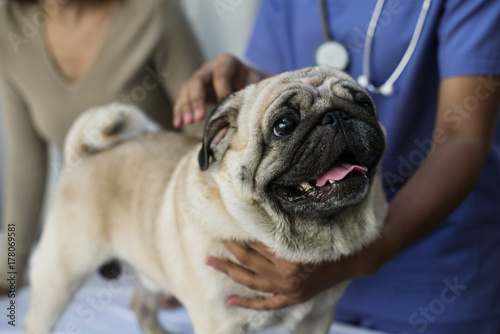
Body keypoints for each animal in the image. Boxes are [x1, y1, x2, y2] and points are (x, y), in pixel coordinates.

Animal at [26, 66, 386, 334]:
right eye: (284, 125)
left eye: (364, 104)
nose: (336, 116)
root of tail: (81, 156)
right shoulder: (221, 323)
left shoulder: (317, 318)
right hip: (62, 273)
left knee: (140, 305)